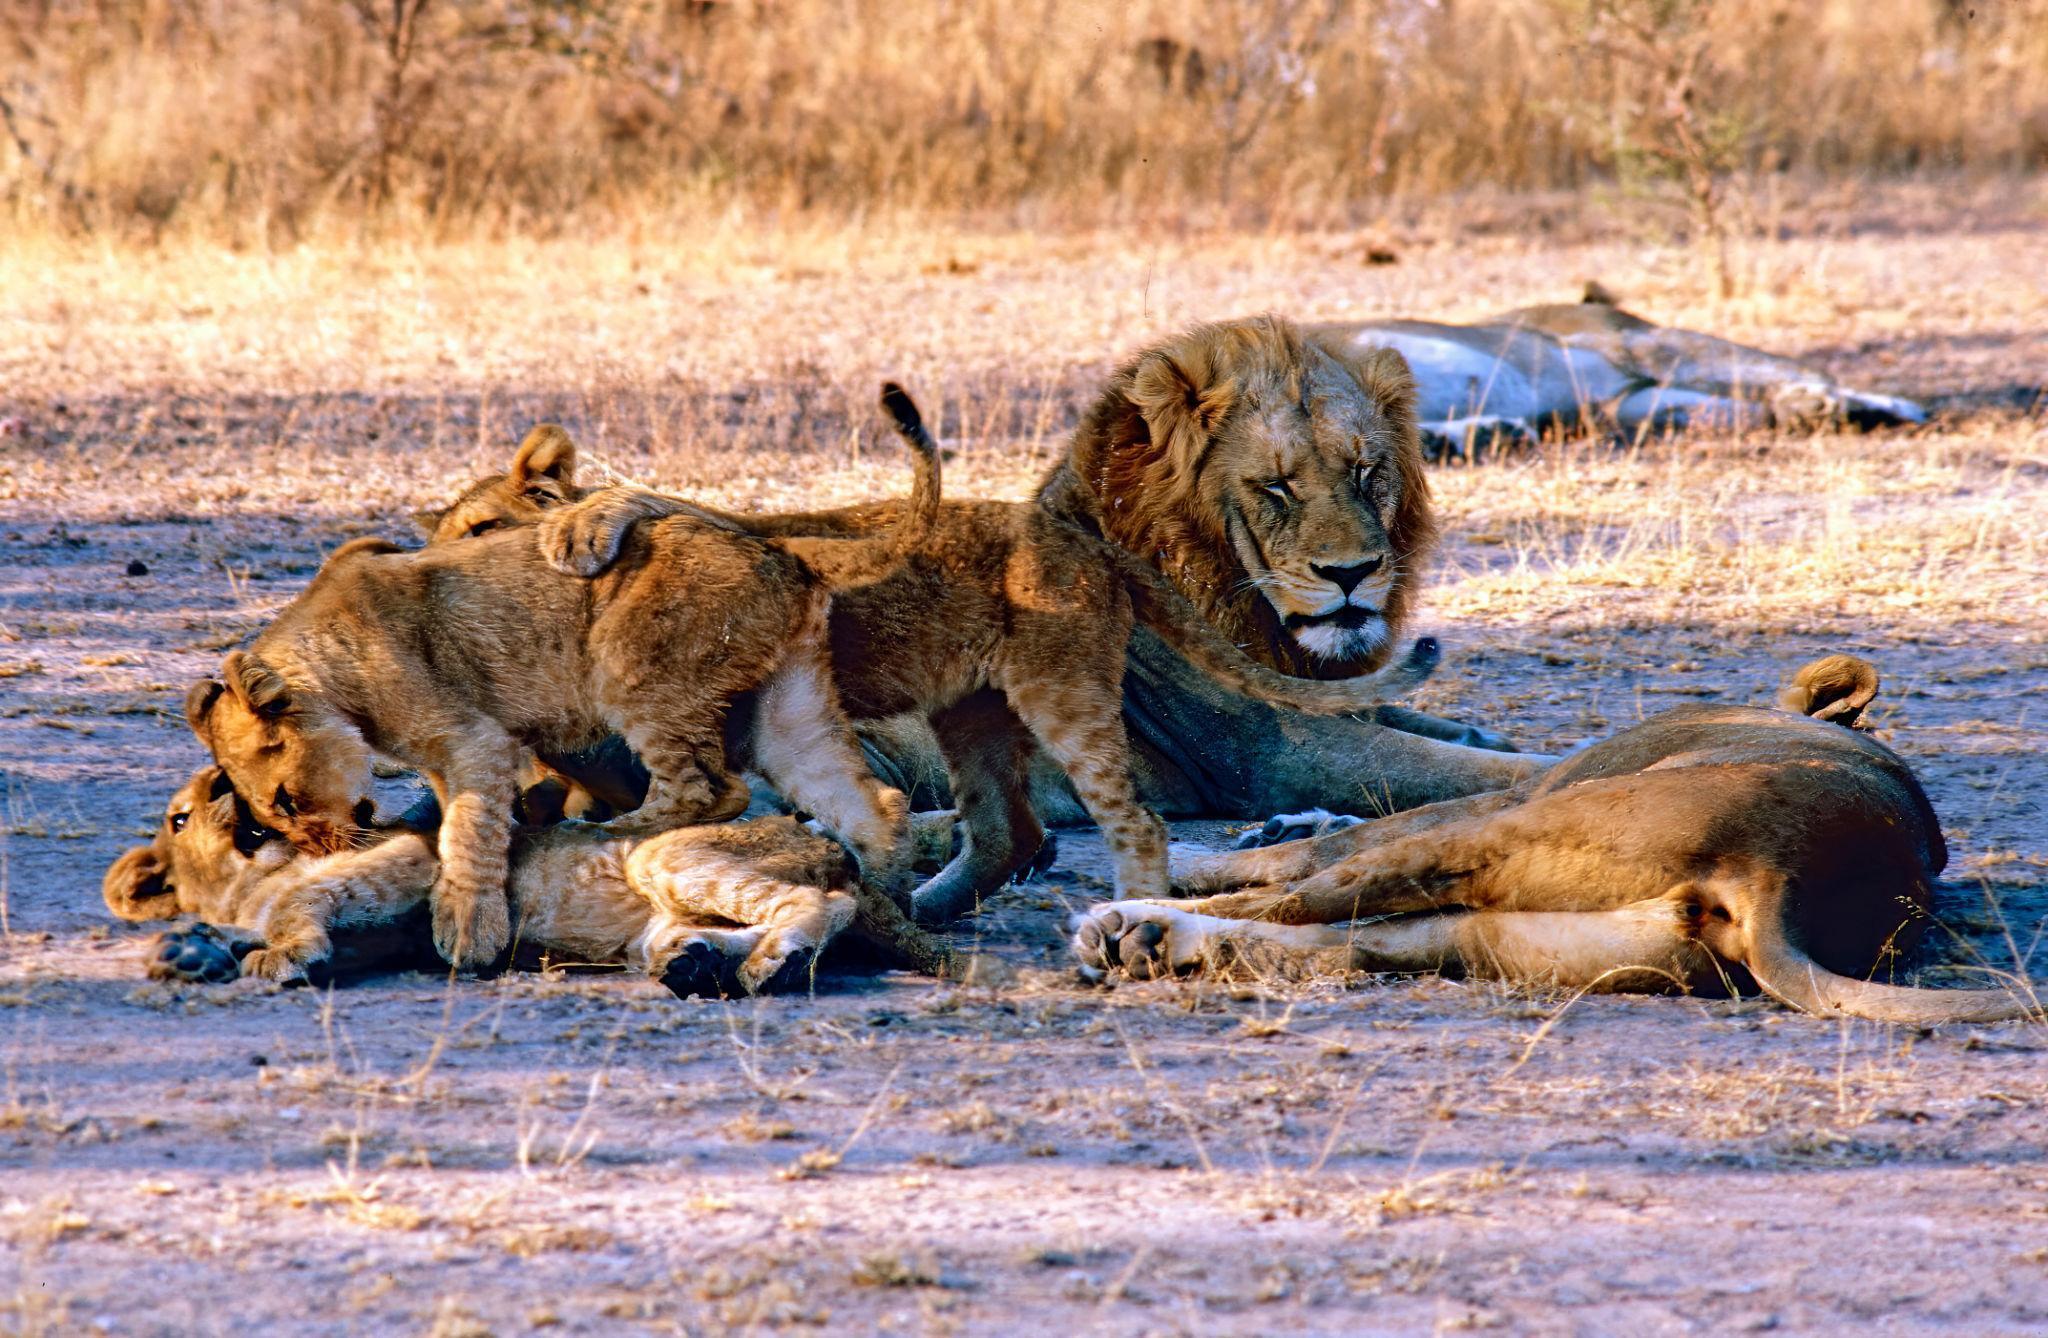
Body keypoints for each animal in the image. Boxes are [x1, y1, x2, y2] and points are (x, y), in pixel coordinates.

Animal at [103, 766, 956, 994]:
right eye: (181, 815)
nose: (225, 782)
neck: (253, 877)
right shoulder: (391, 936)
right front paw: (190, 951)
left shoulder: (412, 865)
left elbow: (306, 902)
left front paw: (280, 954)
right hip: (654, 925)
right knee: (708, 934)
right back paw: (700, 968)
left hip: (663, 857)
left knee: (821, 900)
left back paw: (773, 964)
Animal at [184, 404, 940, 971]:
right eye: (268, 818)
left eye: (284, 800)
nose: (324, 852)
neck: (328, 656)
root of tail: (776, 545)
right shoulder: (453, 761)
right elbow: (465, 819)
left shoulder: (475, 738)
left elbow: (469, 830)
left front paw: (468, 929)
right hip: (788, 708)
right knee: (871, 803)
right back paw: (890, 894)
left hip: (629, 666)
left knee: (709, 789)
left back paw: (608, 829)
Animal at [525, 380, 1446, 924]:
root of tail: (1088, 542)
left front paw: (586, 525)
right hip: (970, 712)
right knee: (1007, 829)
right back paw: (926, 903)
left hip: (1058, 697)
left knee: (1125, 820)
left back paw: (1127, 922)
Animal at [1070, 655, 2041, 1025]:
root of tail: (1787, 878)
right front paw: (1291, 818)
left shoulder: (1530, 783)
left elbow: (1319, 842)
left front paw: (1214, 849)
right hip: (1516, 935)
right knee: (1340, 944)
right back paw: (1148, 940)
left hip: (1511, 827)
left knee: (1301, 902)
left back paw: (1126, 916)